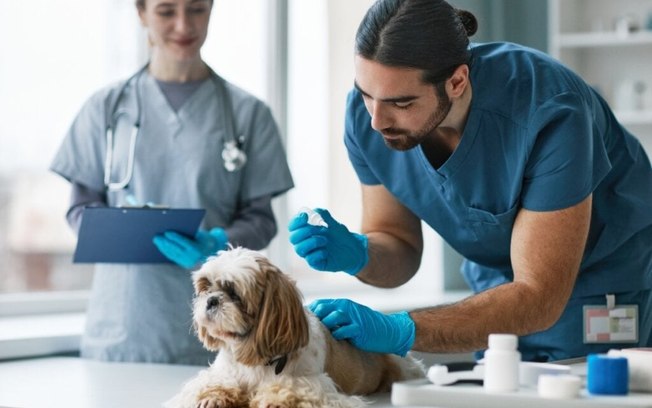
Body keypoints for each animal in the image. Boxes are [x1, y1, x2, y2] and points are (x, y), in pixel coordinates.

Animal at [166, 247, 426, 406]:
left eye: (234, 294)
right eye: (205, 288)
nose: (211, 300)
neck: (254, 358)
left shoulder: (317, 384)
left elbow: (292, 387)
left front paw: (274, 400)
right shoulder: (222, 373)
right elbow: (212, 382)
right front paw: (212, 396)